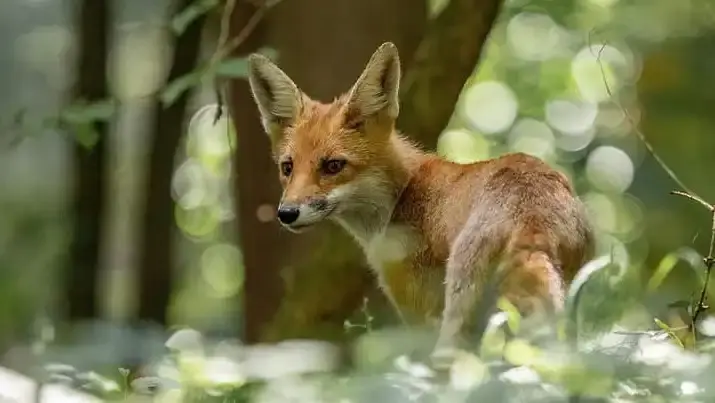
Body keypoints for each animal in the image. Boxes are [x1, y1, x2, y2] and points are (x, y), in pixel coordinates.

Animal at [246, 42, 592, 360]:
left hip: (456, 323)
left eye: (333, 166)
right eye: (287, 168)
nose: (287, 213)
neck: (402, 195)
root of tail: (531, 219)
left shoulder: (417, 310)